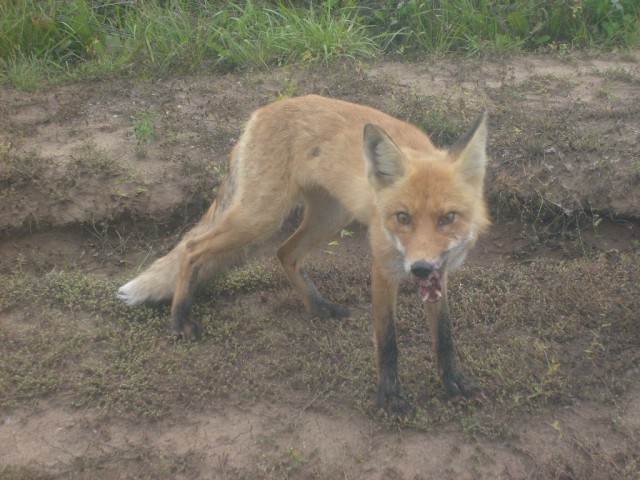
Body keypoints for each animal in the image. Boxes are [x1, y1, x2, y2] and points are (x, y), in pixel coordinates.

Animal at [118, 94, 490, 416]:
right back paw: (180, 318)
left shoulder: (441, 273)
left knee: (285, 252)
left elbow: (444, 336)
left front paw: (453, 383)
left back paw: (318, 306)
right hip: (261, 218)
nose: (421, 268)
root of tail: (261, 112)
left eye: (448, 218)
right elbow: (388, 343)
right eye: (403, 218)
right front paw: (389, 396)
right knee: (192, 248)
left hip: (330, 217)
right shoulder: (384, 267)